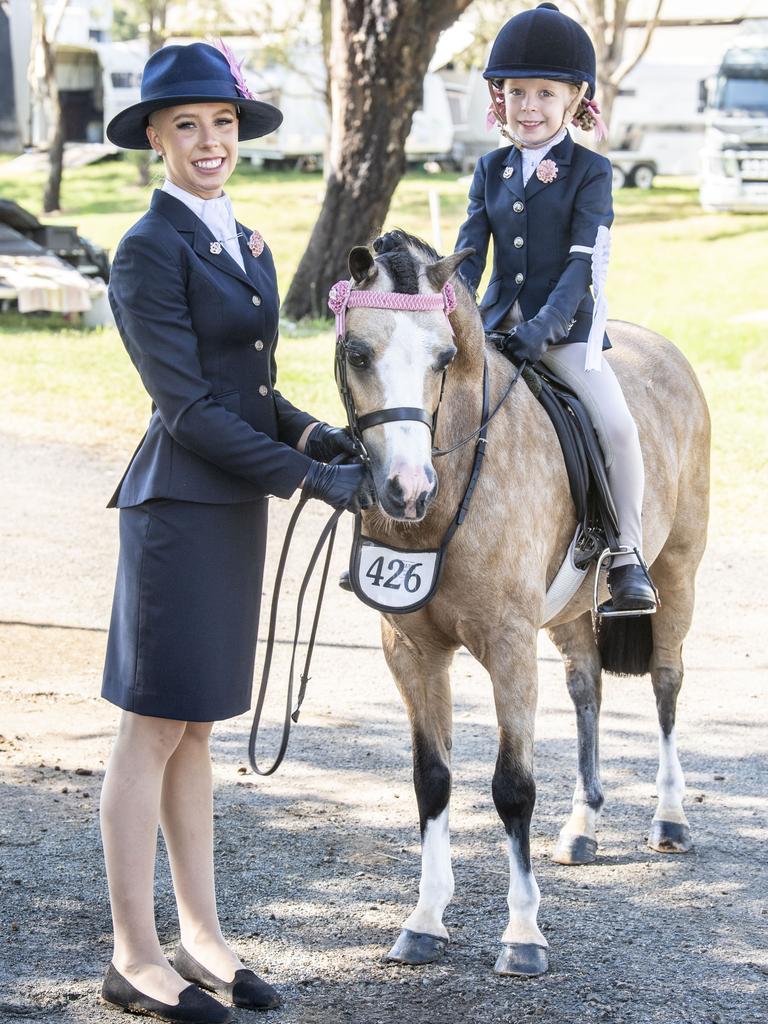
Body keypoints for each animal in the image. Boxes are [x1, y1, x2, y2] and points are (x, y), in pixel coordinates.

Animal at [333, 232, 712, 974]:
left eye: (443, 356)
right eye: (357, 353)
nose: (406, 488)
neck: (450, 489)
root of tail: (663, 346)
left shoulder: (508, 645)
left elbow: (512, 787)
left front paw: (524, 935)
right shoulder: (412, 650)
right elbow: (432, 779)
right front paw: (424, 921)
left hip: (677, 572)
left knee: (666, 684)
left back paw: (670, 818)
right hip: (570, 615)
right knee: (588, 687)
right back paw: (583, 826)